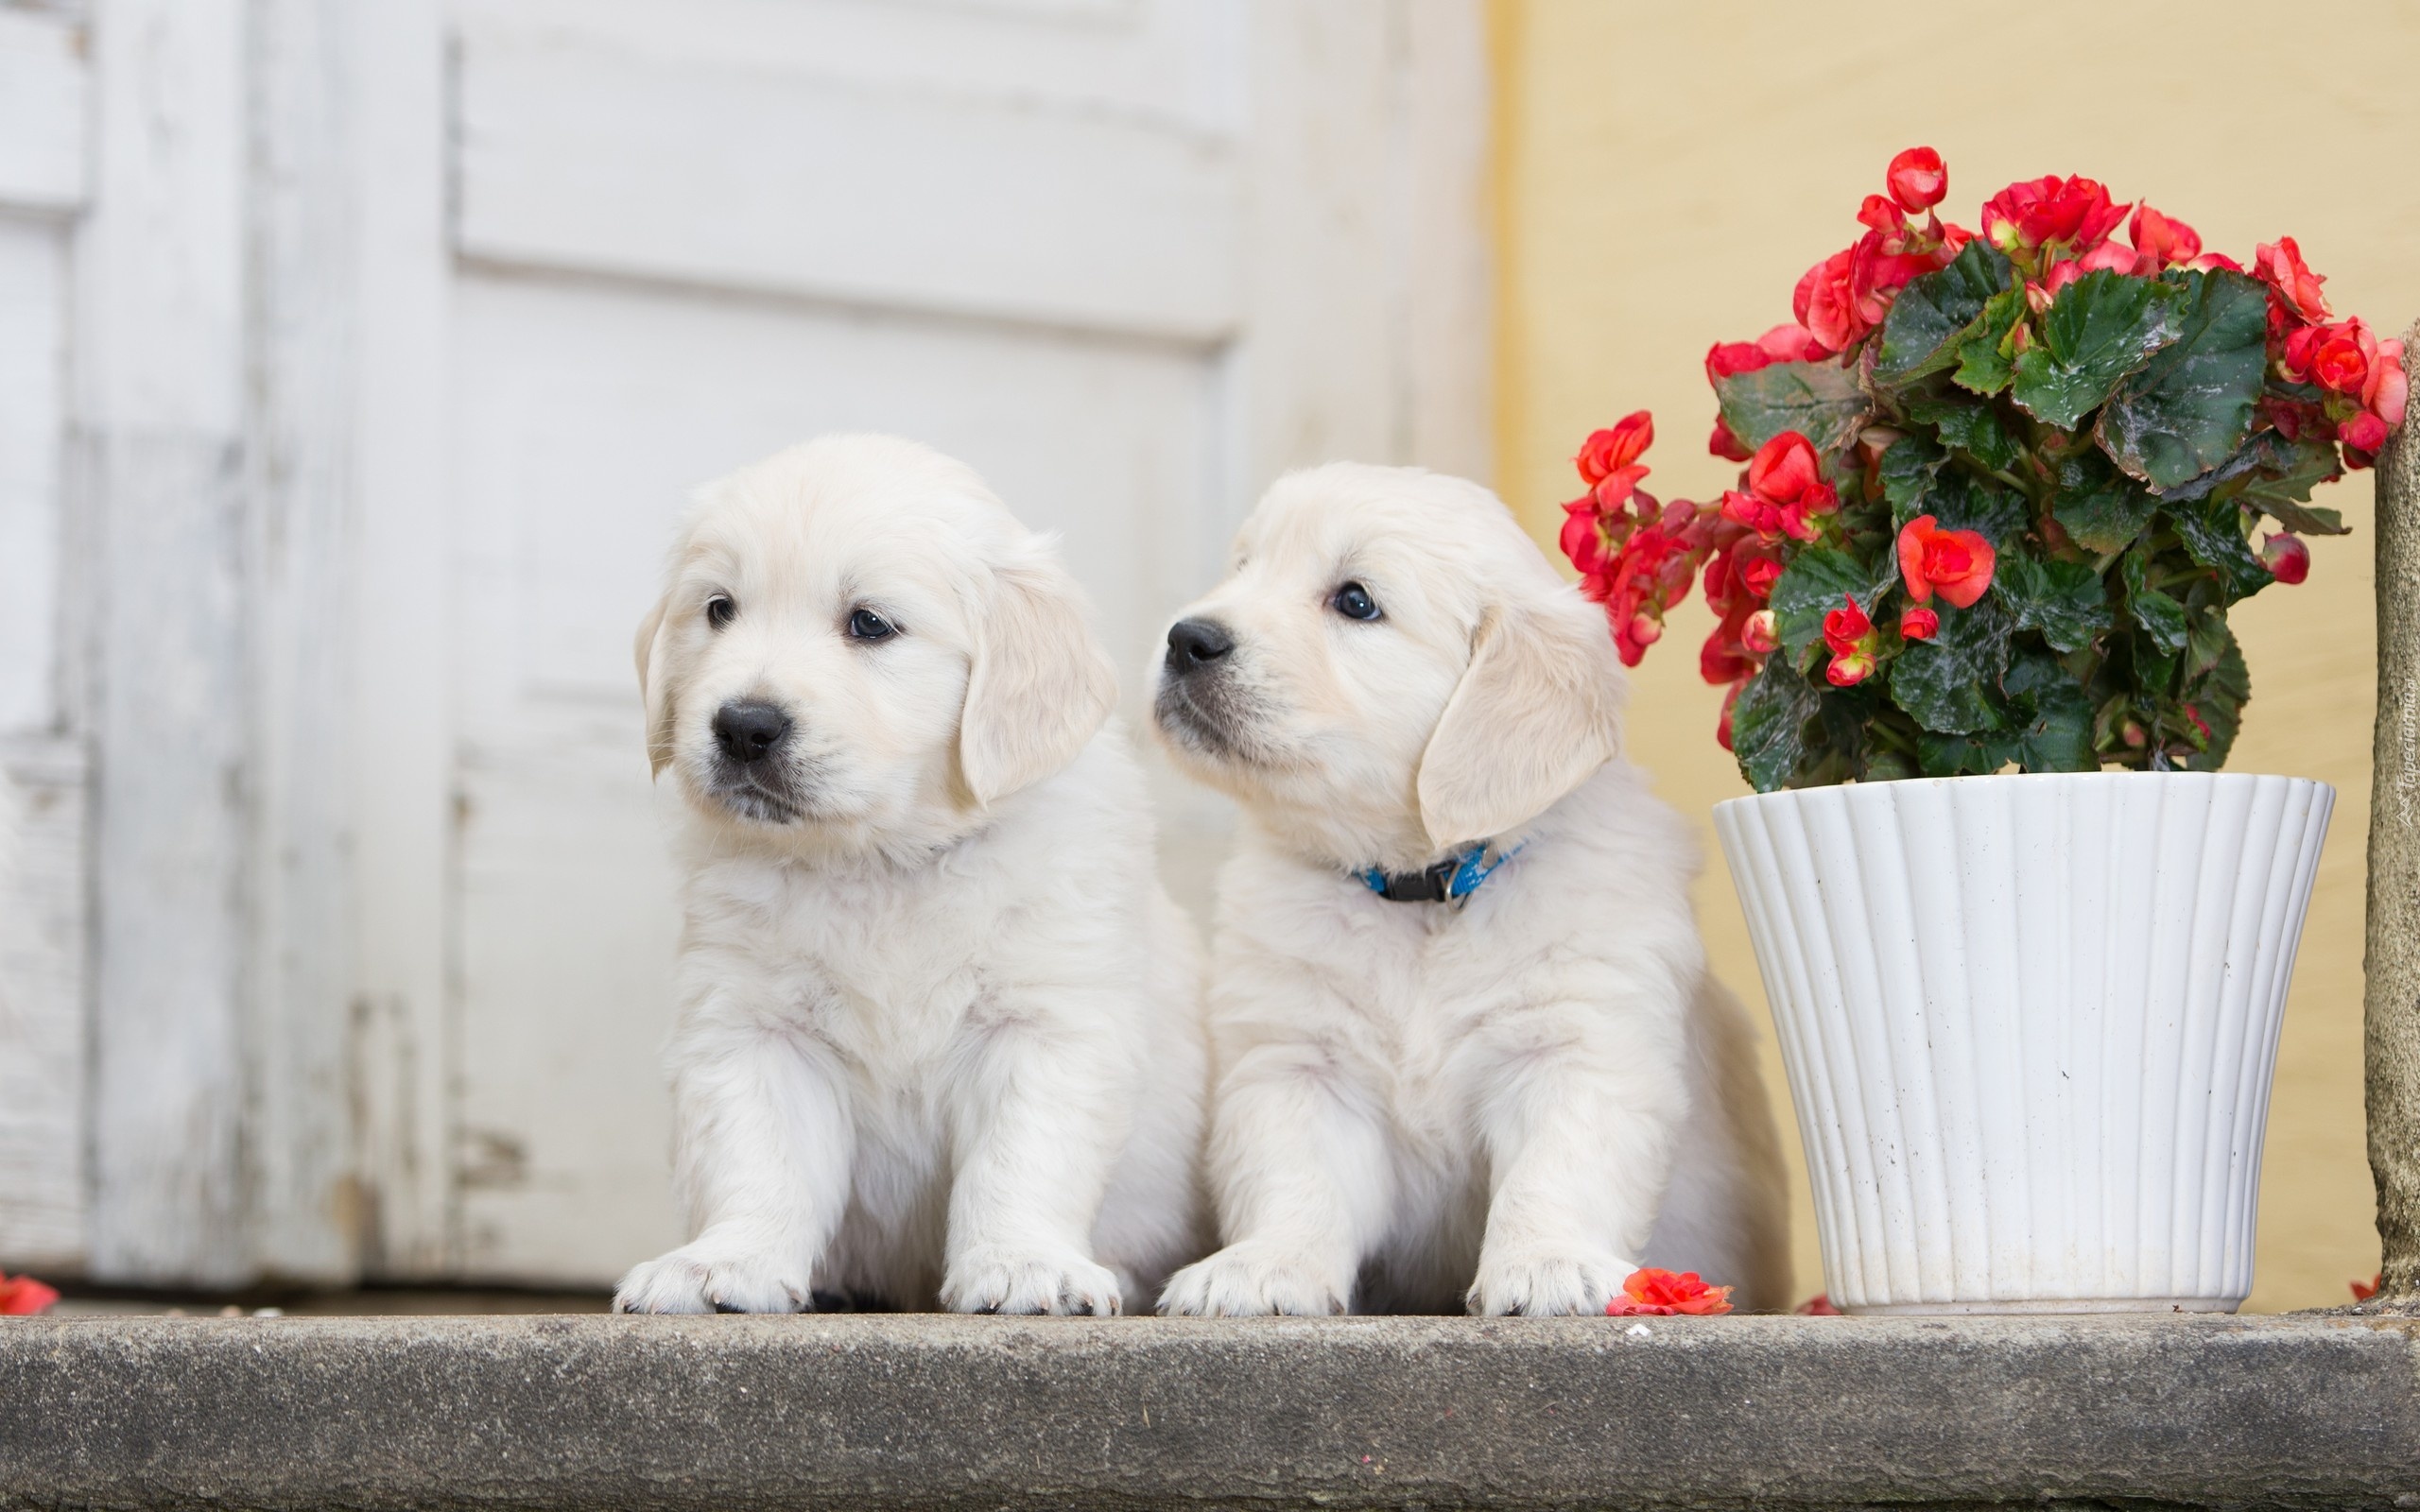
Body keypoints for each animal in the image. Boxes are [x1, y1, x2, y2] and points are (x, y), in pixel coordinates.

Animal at [610, 433, 1204, 1306]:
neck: (880, 861)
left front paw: (1023, 1266)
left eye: (869, 624)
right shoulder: (752, 1025)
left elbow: (1020, 1160)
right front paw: (725, 1263)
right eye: (718, 610)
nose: (743, 726)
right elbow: (758, 1158)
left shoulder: (1045, 1021)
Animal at [1151, 456, 1800, 1306]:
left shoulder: (1576, 1045)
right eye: (1243, 568)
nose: (1184, 637)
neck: (1427, 894)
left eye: (1355, 600)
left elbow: (1554, 1171)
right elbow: (1295, 1177)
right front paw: (1264, 1266)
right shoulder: (1297, 1060)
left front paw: (1548, 1264)